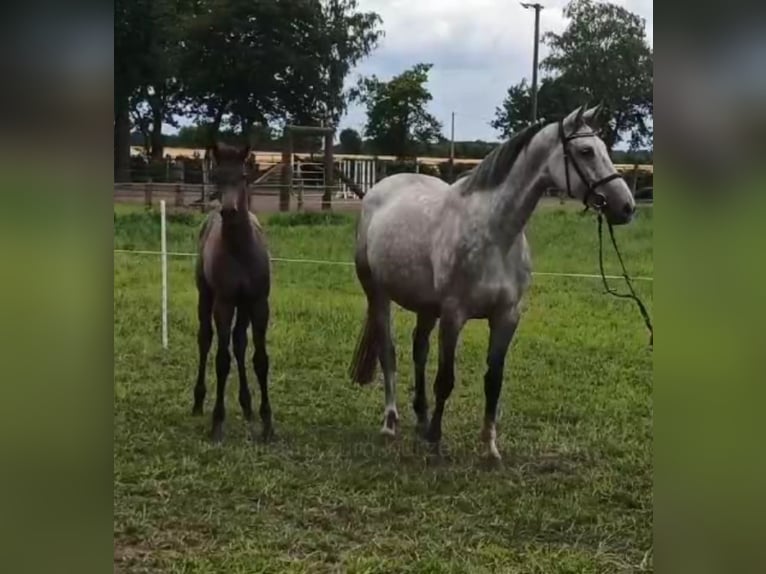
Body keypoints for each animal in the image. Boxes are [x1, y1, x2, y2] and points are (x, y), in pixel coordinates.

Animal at [348, 103, 636, 462]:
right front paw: (436, 439)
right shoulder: (454, 315)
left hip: (427, 307)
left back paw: (421, 418)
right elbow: (446, 379)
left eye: (605, 149)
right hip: (378, 294)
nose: (626, 206)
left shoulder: (506, 317)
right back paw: (391, 422)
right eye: (586, 151)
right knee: (389, 353)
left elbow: (493, 381)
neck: (494, 233)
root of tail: (379, 189)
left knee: (419, 349)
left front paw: (489, 447)